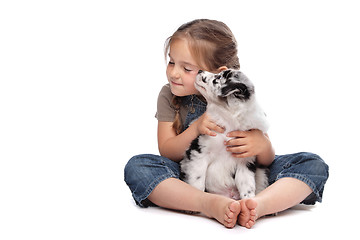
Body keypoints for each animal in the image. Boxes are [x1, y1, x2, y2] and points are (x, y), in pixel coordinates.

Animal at [181, 70, 268, 201]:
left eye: (217, 78)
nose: (200, 70)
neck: (229, 121)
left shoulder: (245, 160)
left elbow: (247, 185)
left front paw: (248, 202)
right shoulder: (199, 152)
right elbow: (198, 181)